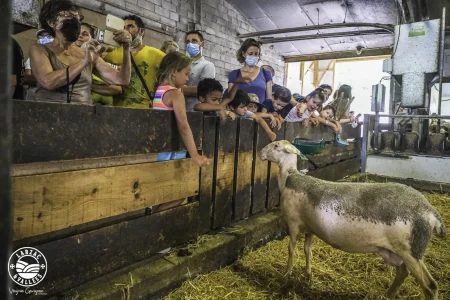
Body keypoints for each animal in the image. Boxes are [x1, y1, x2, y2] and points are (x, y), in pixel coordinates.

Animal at [260, 141, 446, 300]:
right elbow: (308, 251)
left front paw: (287, 274)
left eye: (276, 146)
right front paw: (308, 275)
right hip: (400, 251)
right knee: (402, 273)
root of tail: (431, 211)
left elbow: (291, 249)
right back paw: (388, 294)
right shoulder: (310, 229)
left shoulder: (293, 223)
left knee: (430, 286)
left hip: (411, 251)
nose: (261, 153)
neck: (289, 177)